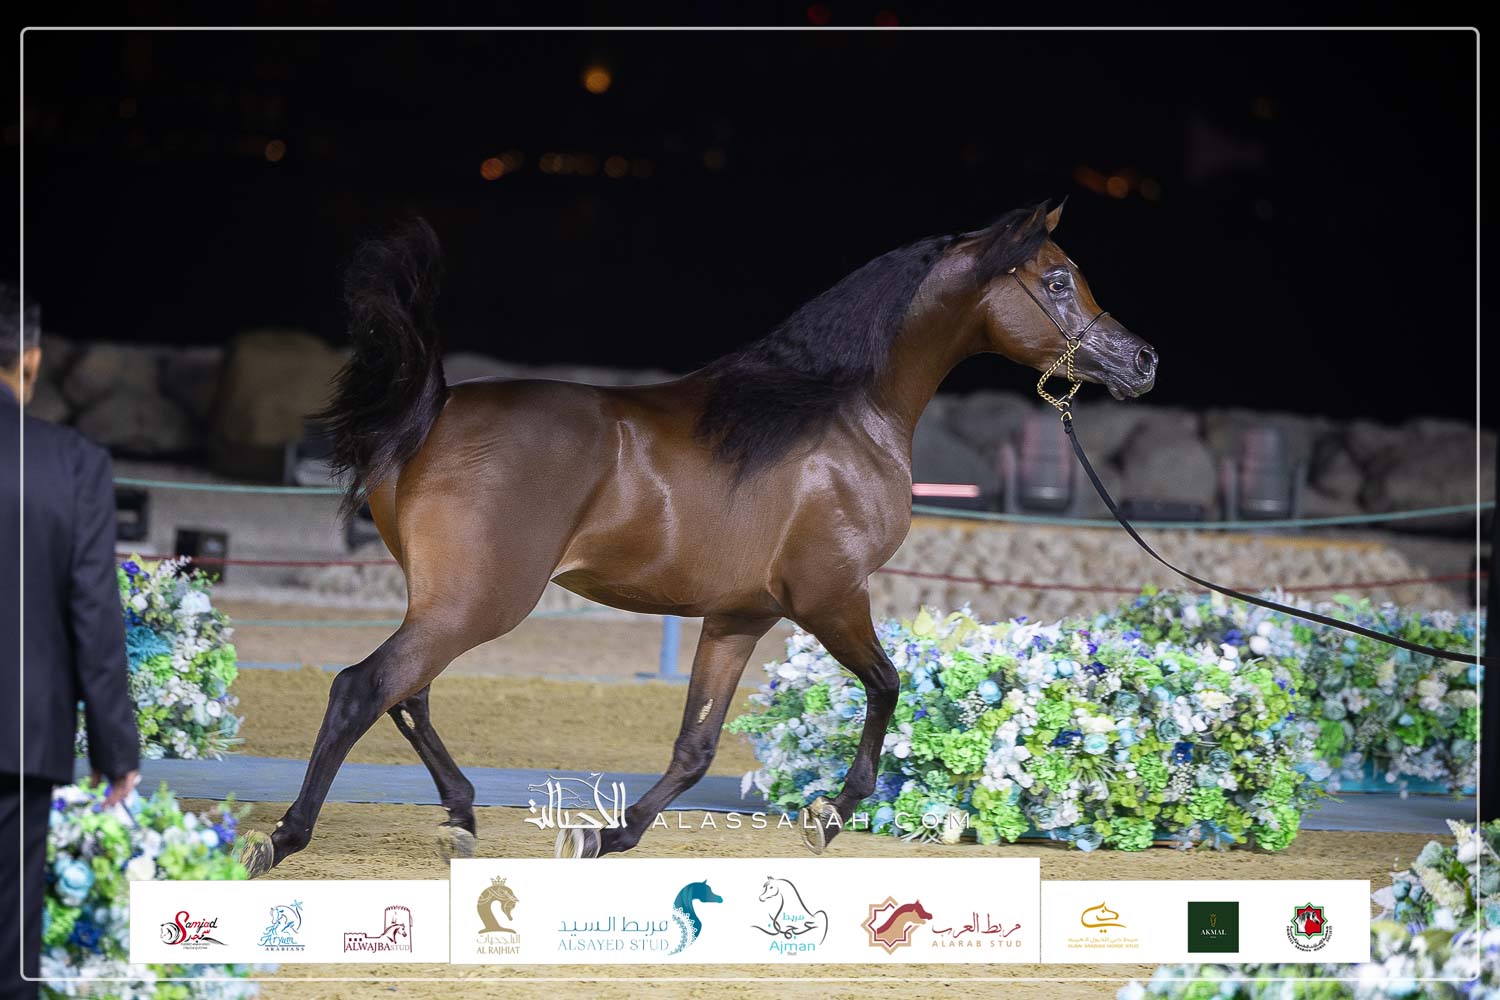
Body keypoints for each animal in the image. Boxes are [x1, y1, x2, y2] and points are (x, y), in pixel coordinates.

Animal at [236, 199, 1157, 877]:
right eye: (1059, 280)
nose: (1142, 361)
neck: (840, 415)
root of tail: (434, 408)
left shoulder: (740, 617)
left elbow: (696, 746)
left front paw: (607, 835)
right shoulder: (830, 597)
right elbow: (888, 686)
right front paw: (828, 816)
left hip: (447, 600)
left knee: (406, 694)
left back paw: (460, 818)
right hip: (480, 601)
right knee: (363, 687)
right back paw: (282, 839)